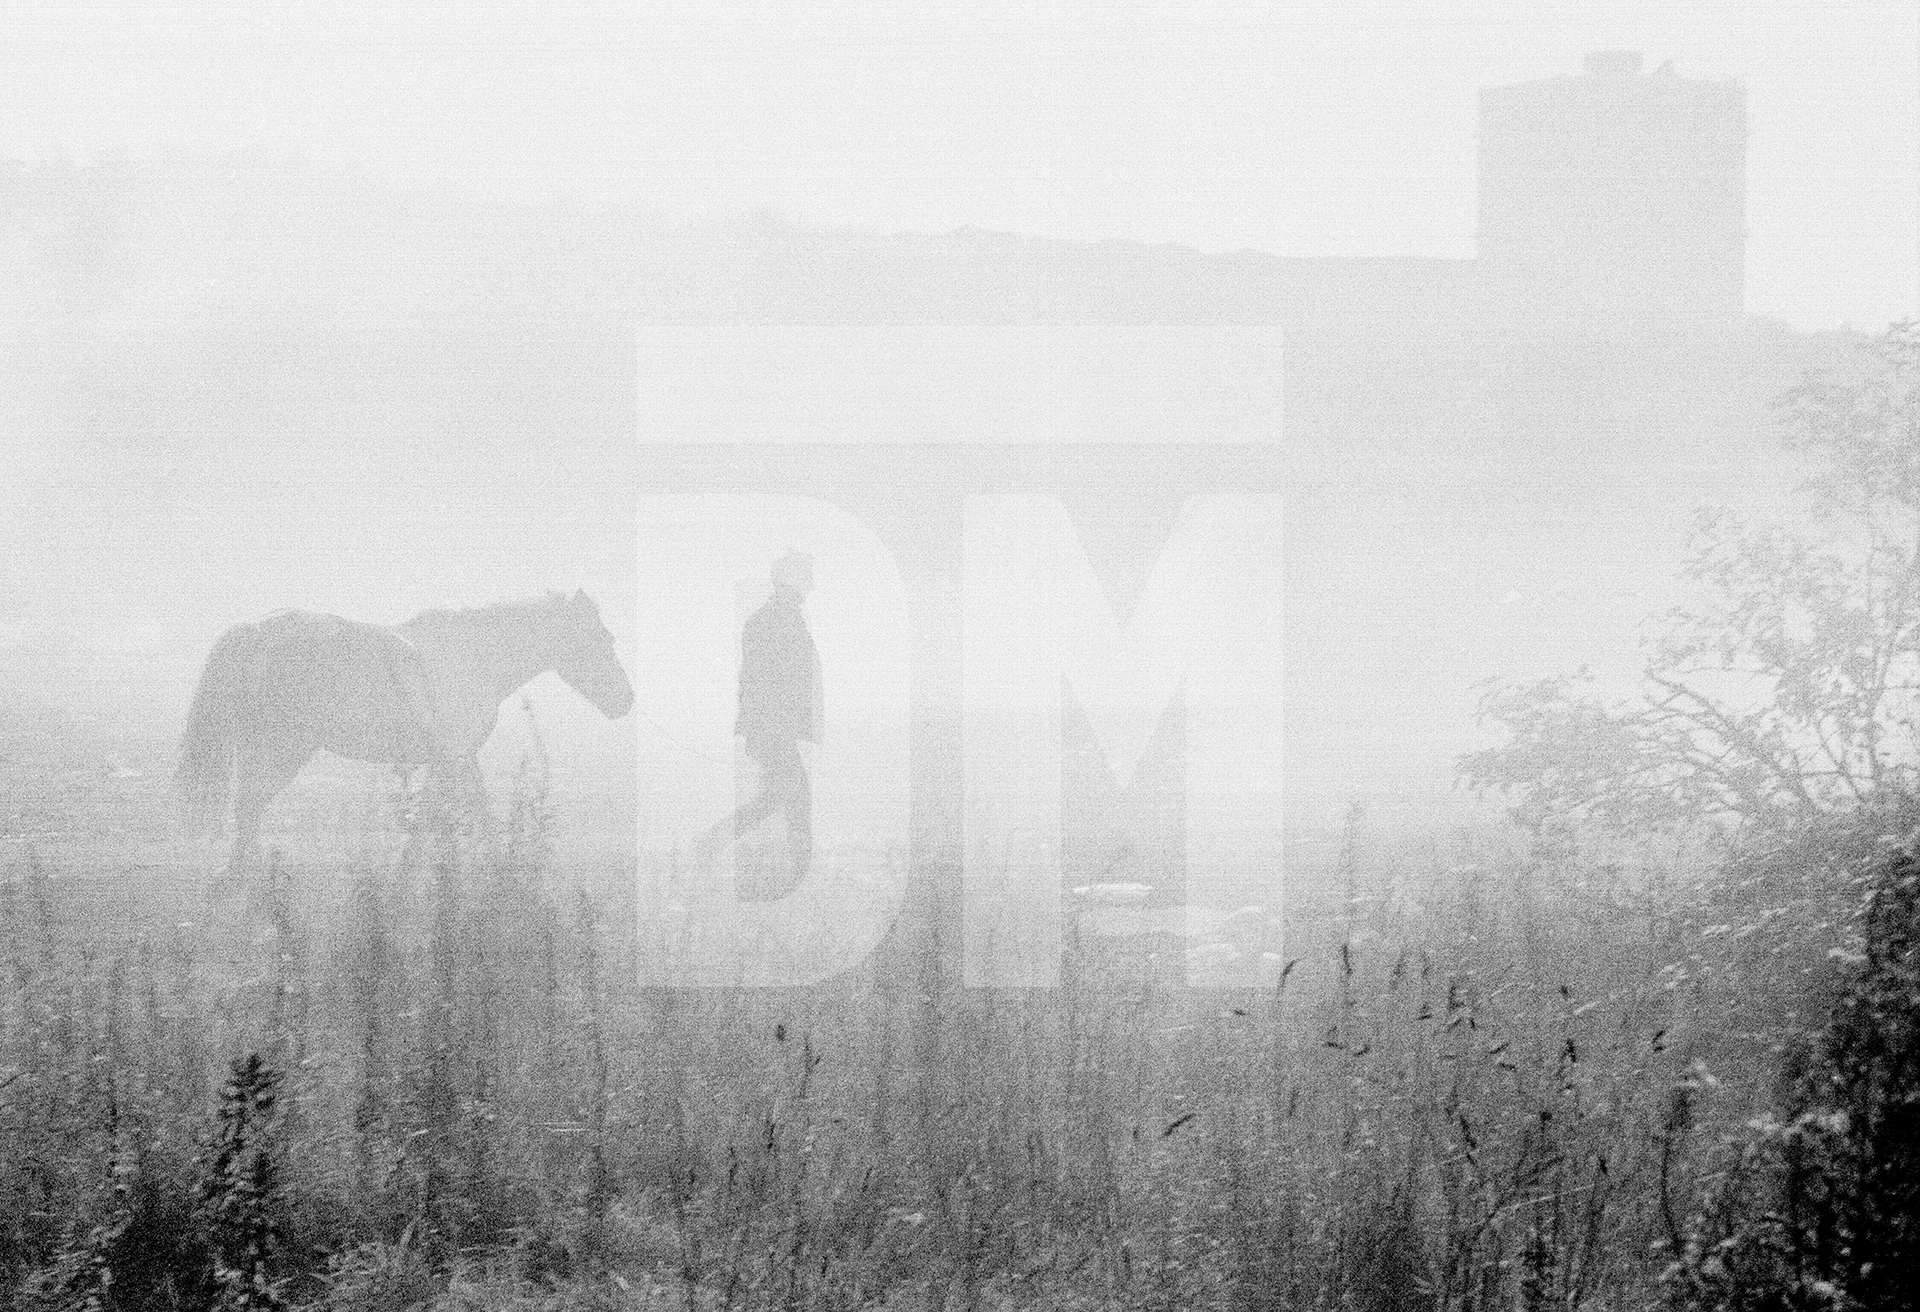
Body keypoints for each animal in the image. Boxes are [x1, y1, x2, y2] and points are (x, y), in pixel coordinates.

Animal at [175, 591, 633, 872]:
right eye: (602, 638)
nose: (626, 701)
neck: (473, 659)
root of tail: (255, 630)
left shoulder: (454, 758)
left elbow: (454, 820)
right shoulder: (453, 758)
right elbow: (452, 823)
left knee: (246, 814)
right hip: (281, 749)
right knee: (248, 811)